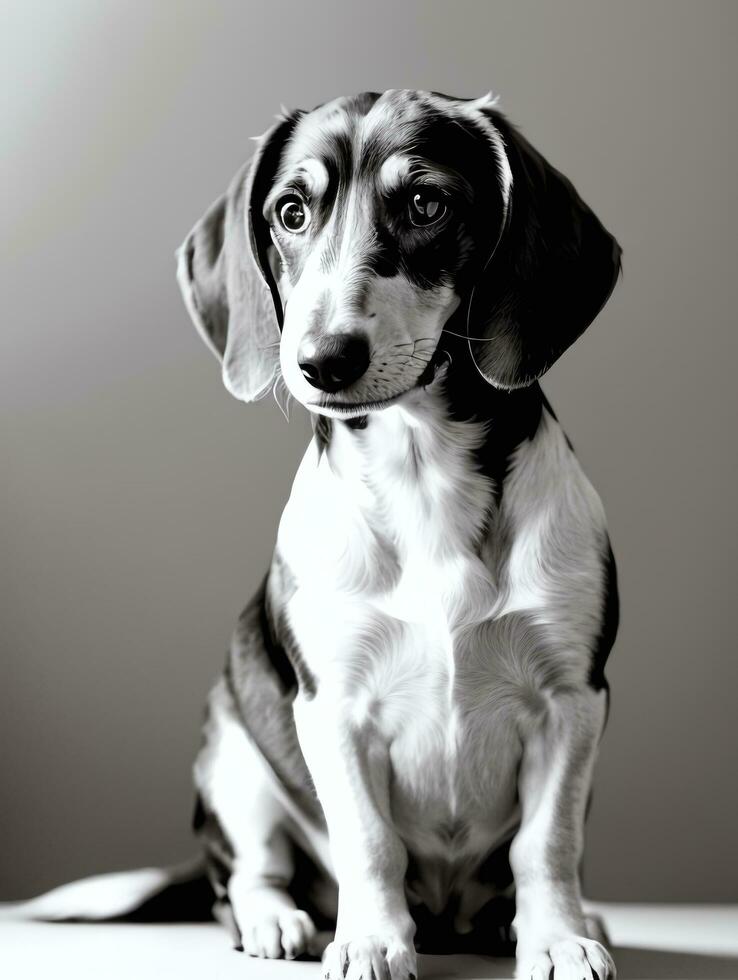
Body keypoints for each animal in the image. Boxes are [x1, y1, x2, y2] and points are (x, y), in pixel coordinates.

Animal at [12, 90, 620, 980]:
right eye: (291, 212)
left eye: (427, 204)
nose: (323, 360)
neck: (423, 480)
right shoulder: (333, 707)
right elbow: (369, 841)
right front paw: (371, 940)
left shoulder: (572, 701)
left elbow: (547, 844)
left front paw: (558, 936)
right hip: (233, 757)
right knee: (246, 878)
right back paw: (279, 921)